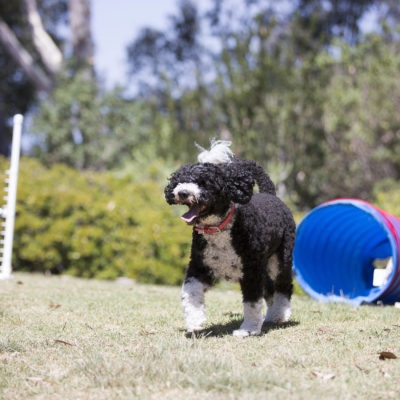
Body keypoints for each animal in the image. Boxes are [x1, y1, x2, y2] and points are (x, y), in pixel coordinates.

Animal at [163, 142, 296, 336]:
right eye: (180, 181)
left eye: (203, 183)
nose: (182, 192)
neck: (219, 228)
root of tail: (271, 195)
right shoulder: (200, 267)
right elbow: (190, 292)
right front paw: (195, 321)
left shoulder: (250, 272)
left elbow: (252, 303)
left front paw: (248, 329)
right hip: (263, 266)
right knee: (270, 288)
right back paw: (271, 315)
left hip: (280, 260)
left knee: (283, 286)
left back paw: (280, 314)